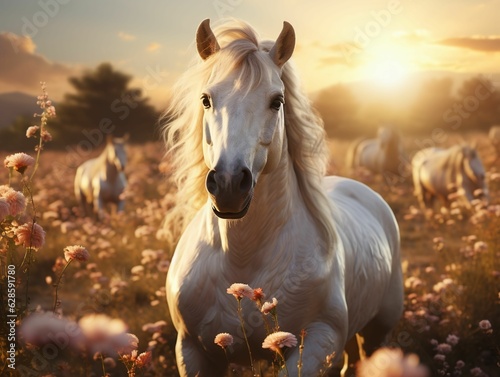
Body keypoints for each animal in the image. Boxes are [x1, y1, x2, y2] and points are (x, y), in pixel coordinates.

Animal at [162, 19, 404, 374]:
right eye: (206, 99)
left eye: (276, 101)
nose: (229, 184)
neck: (242, 257)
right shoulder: (191, 349)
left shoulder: (319, 341)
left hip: (379, 330)